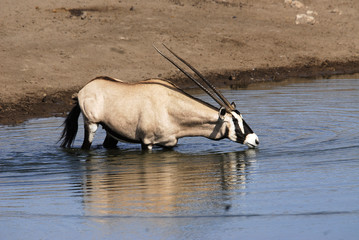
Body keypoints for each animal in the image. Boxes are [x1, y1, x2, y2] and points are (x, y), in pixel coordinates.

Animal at [59, 45, 258, 150]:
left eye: (241, 118)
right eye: (234, 121)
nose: (255, 140)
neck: (170, 107)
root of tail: (84, 89)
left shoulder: (169, 144)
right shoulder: (146, 143)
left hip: (112, 132)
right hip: (91, 124)